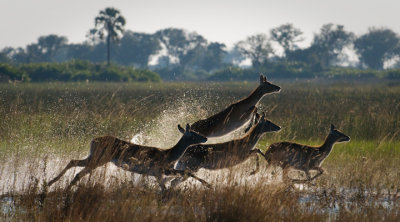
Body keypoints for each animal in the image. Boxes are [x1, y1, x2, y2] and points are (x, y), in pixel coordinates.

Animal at [47, 123, 209, 191]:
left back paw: (51, 183)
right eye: (194, 133)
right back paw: (60, 186)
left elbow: (167, 185)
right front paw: (208, 184)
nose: (205, 138)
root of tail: (93, 140)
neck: (169, 154)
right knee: (79, 171)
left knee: (73, 162)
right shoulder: (158, 169)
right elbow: (184, 173)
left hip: (94, 156)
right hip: (99, 158)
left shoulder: (157, 172)